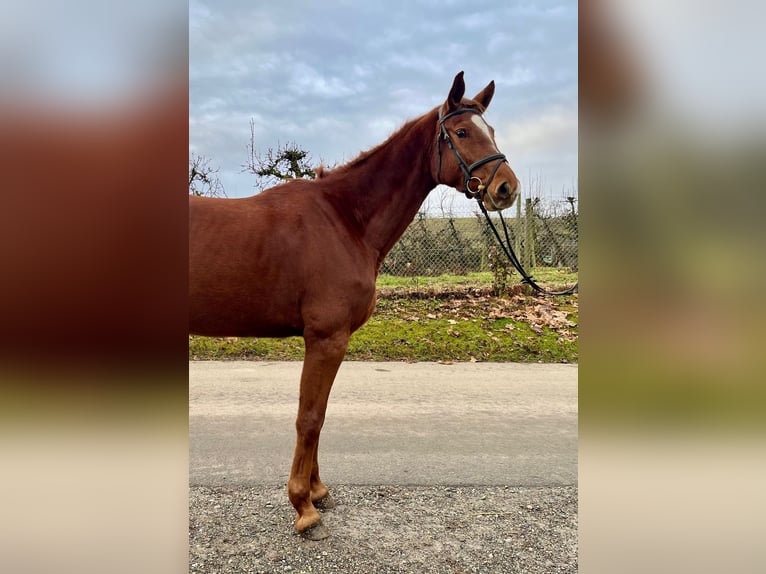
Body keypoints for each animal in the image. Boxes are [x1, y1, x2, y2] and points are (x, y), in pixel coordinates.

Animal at [189, 71, 520, 539]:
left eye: (489, 129)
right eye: (460, 132)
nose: (507, 188)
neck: (344, 219)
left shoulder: (328, 342)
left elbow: (320, 415)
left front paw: (318, 491)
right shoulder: (326, 339)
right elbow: (309, 418)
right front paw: (304, 508)